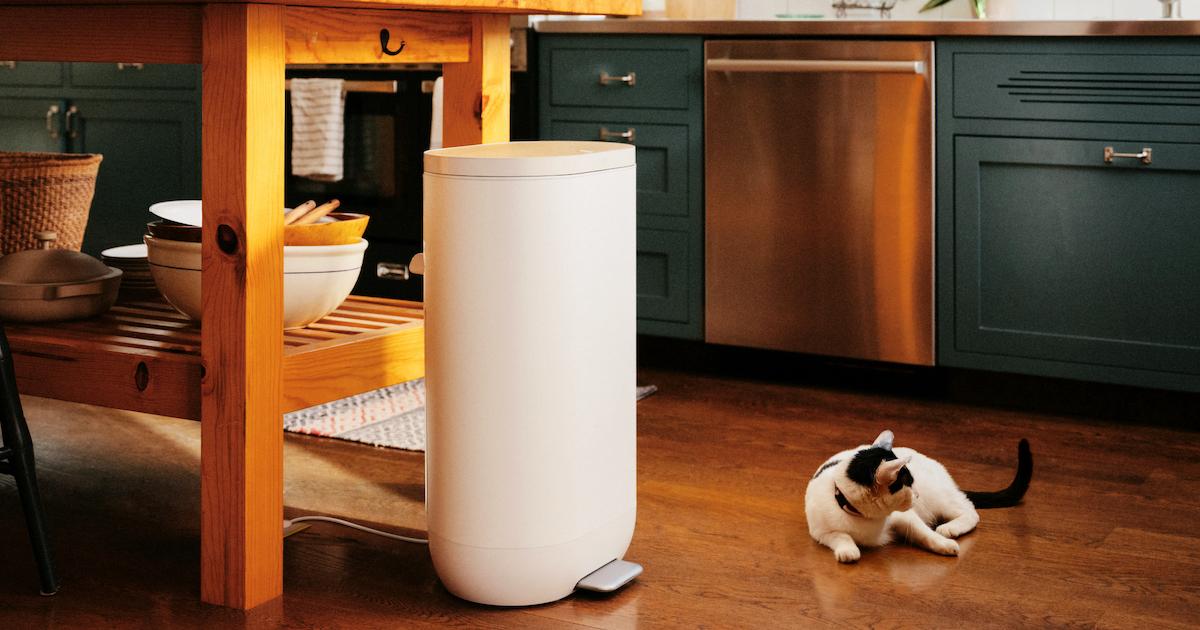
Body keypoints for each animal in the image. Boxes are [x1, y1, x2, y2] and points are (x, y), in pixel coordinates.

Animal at [806, 429, 1032, 561]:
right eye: (908, 484)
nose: (917, 495)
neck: (867, 519)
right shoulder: (821, 532)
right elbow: (841, 536)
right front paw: (848, 551)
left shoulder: (905, 517)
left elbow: (925, 533)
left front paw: (944, 545)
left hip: (941, 498)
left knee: (970, 510)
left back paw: (950, 529)